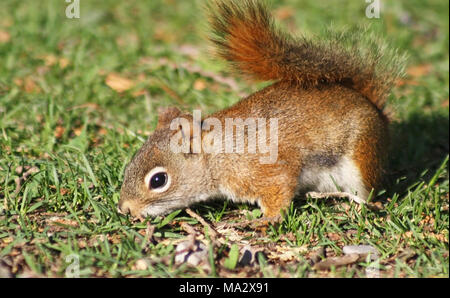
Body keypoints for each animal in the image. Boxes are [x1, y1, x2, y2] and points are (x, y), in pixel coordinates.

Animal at [117, 0, 404, 221]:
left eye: (158, 180)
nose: (125, 209)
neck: (219, 155)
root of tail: (375, 109)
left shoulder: (267, 170)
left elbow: (278, 193)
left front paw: (266, 220)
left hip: (362, 156)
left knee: (368, 193)